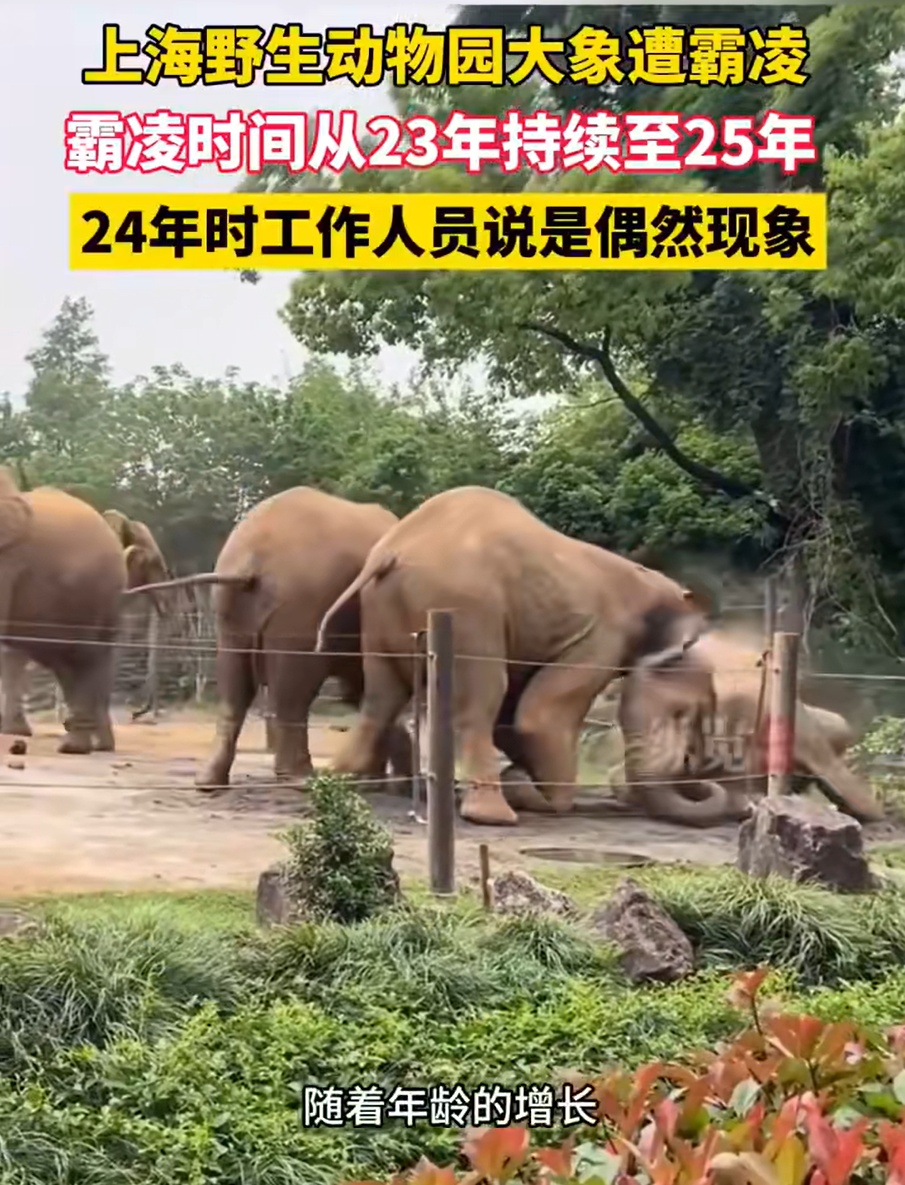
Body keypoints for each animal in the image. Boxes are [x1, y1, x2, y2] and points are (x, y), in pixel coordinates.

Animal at [123, 486, 414, 791]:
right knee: (293, 691)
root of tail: (250, 560)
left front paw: (376, 782)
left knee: (234, 687)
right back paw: (300, 779)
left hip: (232, 608)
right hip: (301, 605)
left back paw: (208, 783)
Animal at [315, 485, 724, 828]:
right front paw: (537, 794)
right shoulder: (604, 638)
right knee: (482, 696)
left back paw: (344, 779)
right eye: (686, 713)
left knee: (382, 694)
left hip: (381, 612)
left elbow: (513, 717)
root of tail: (391, 551)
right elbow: (537, 716)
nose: (701, 770)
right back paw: (494, 816)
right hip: (468, 609)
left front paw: (524, 778)